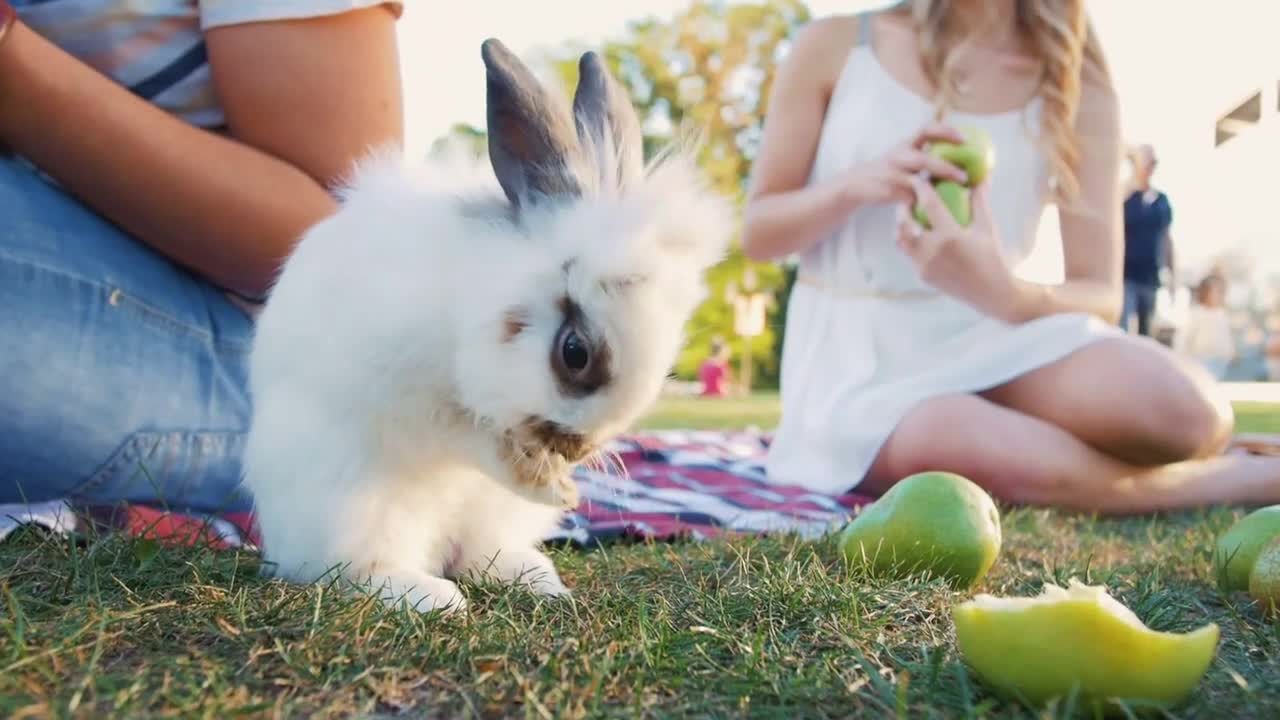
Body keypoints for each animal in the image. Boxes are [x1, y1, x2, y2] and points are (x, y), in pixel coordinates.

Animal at [240, 39, 737, 609]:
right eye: (575, 353)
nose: (580, 450)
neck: (471, 301)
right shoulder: (422, 404)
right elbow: (475, 442)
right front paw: (554, 486)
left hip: (491, 519)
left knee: (475, 554)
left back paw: (538, 581)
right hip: (350, 504)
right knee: (352, 567)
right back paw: (430, 596)